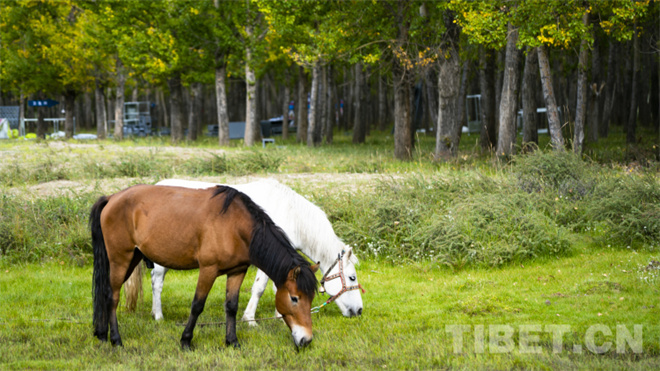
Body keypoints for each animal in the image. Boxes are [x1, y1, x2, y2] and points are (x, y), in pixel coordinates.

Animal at [89, 186, 318, 352]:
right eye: (294, 298)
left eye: (311, 299)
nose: (306, 340)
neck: (236, 225)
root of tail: (111, 198)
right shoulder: (208, 270)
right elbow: (197, 305)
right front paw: (185, 341)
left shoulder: (237, 271)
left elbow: (231, 306)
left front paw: (232, 342)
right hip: (121, 259)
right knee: (112, 297)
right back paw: (116, 340)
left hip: (131, 259)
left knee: (105, 293)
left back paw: (102, 335)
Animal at [126, 179, 364, 324]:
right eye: (352, 277)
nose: (359, 311)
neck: (291, 214)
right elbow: (259, 288)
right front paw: (250, 319)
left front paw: (280, 315)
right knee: (157, 282)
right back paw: (158, 315)